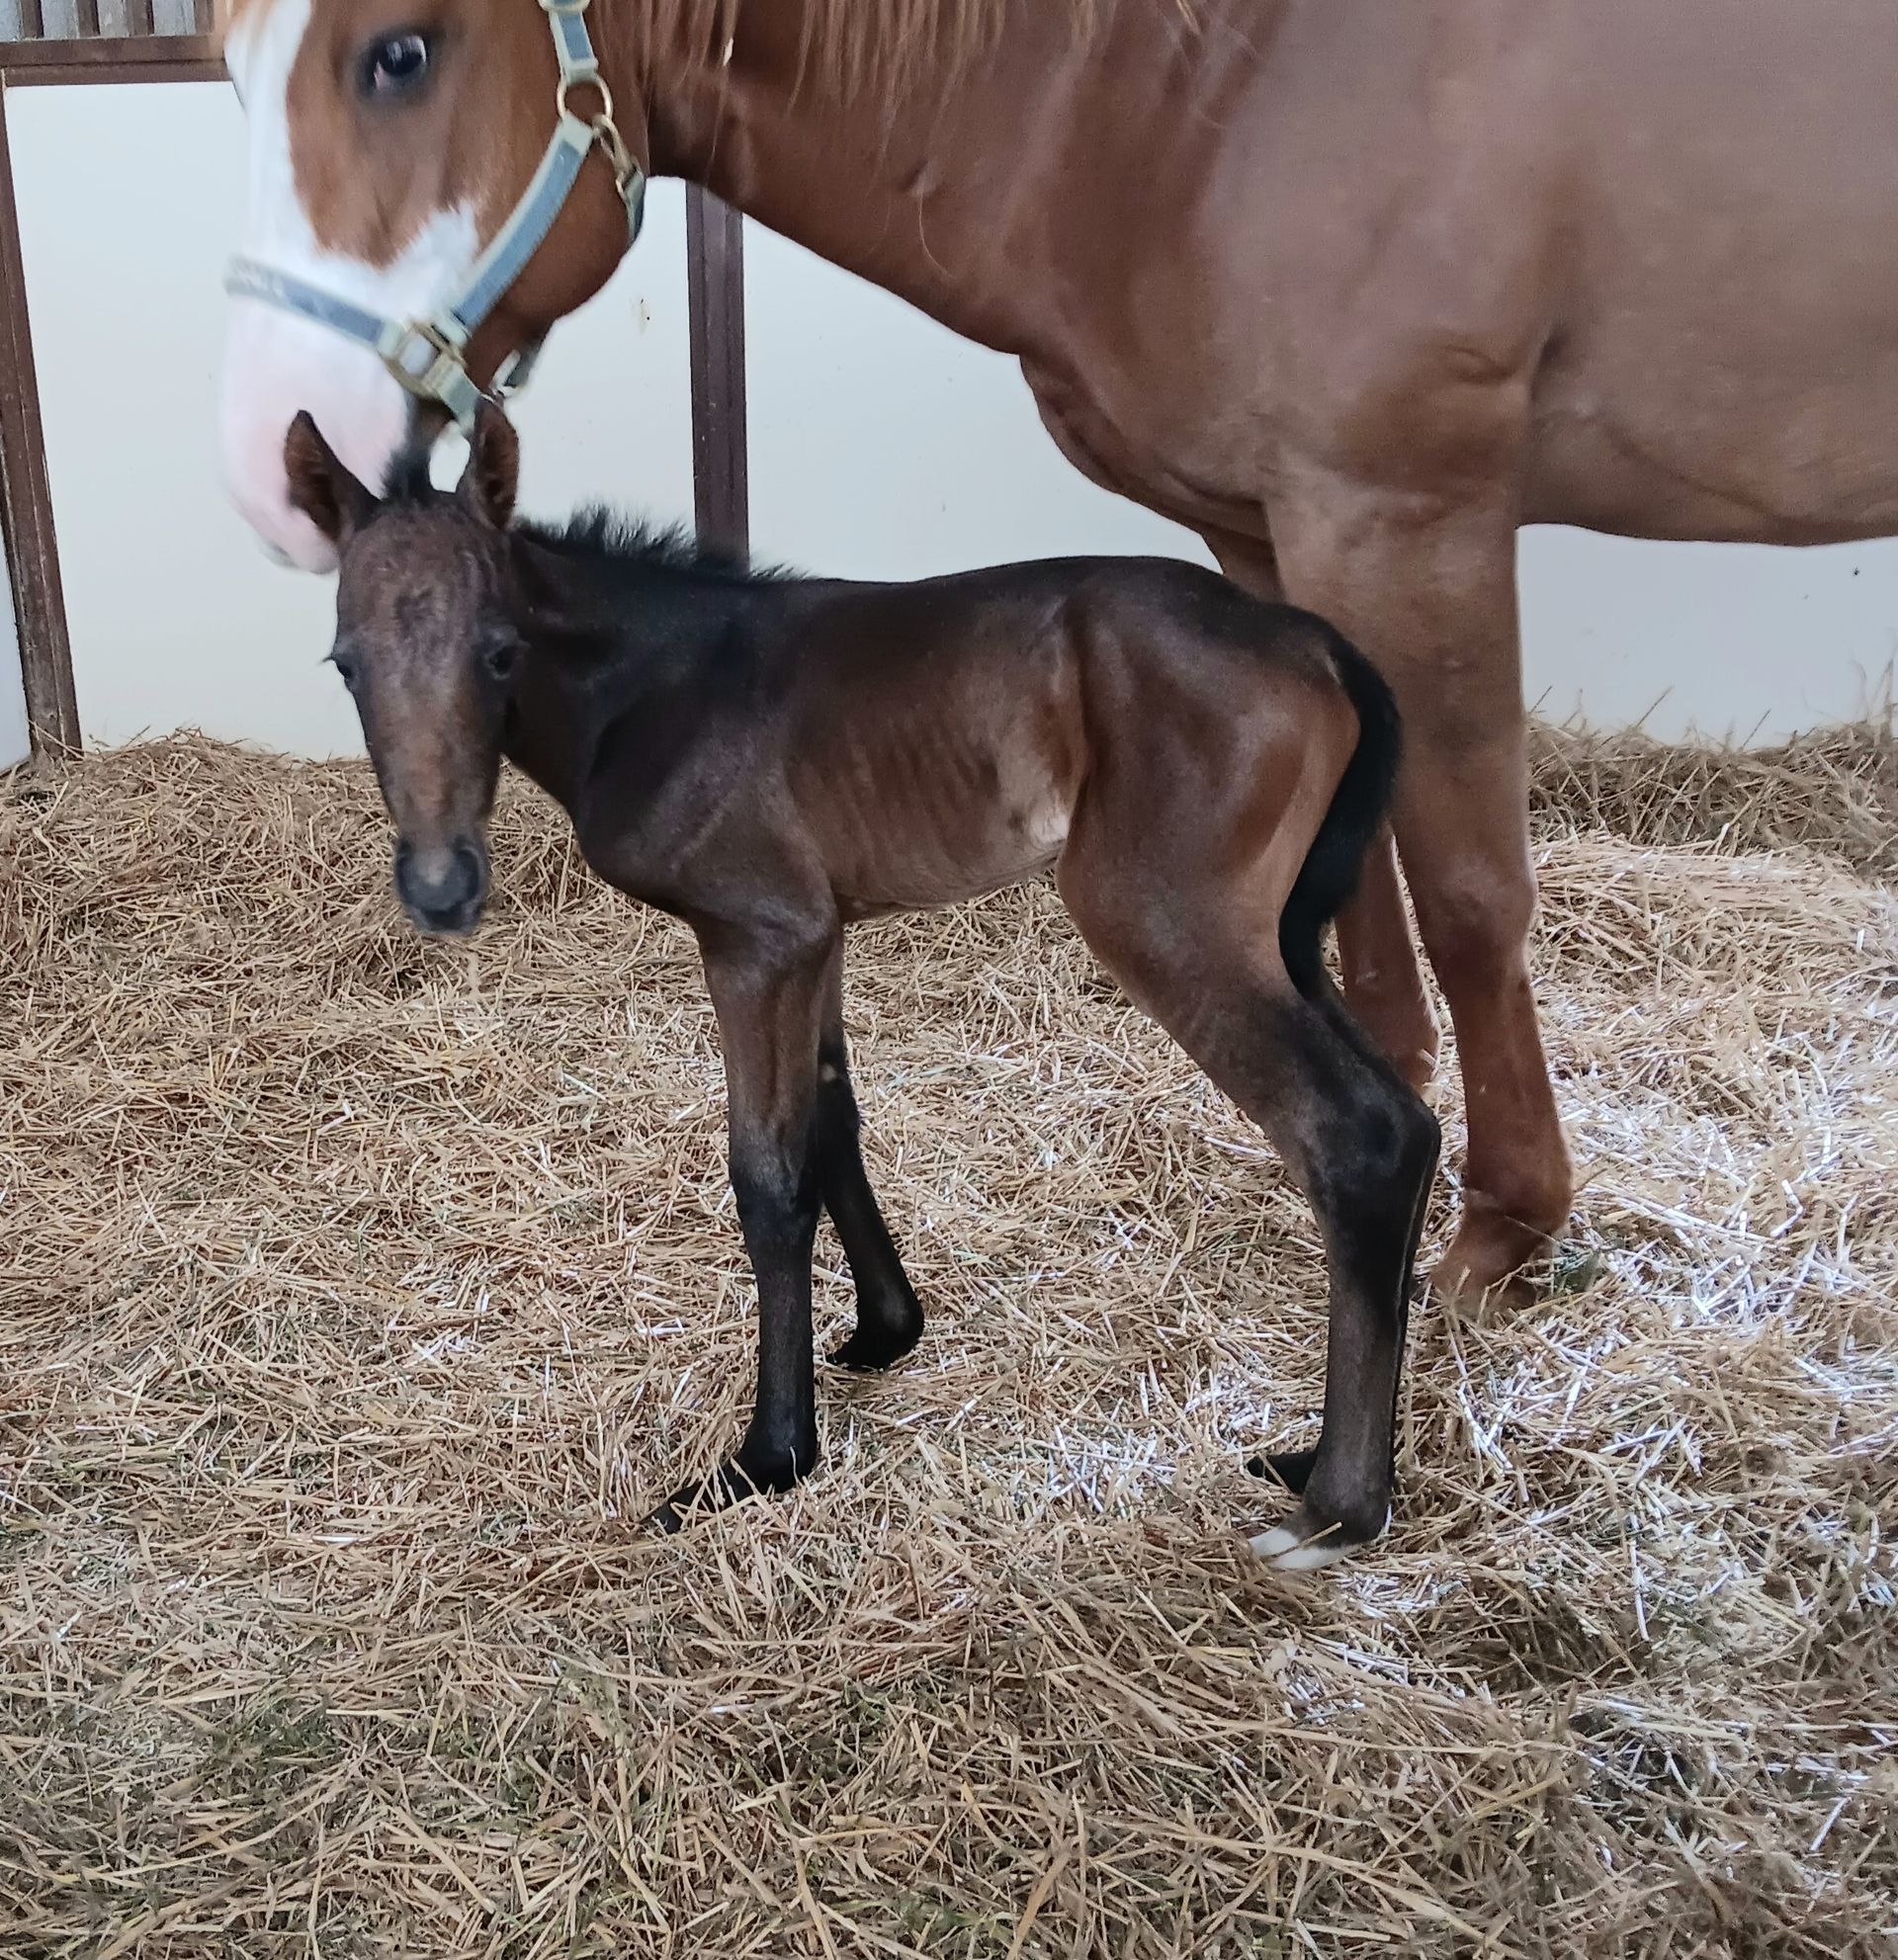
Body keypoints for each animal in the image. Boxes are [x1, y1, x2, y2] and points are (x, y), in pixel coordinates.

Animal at [214, 0, 1898, 1305]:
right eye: (228, 60)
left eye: (400, 52)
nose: (264, 464)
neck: (1206, 100)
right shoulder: (1272, 539)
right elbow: (1359, 892)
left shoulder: (1408, 517)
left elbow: (1476, 892)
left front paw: (1504, 1230)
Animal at [284, 400, 1440, 1566]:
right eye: (344, 663)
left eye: (499, 653)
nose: (440, 887)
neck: (659, 685)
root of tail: (1319, 641)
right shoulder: (820, 934)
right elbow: (833, 1120)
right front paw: (887, 1331)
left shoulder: (757, 939)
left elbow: (768, 1174)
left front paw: (768, 1456)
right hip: (1284, 936)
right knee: (1411, 1121)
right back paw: (1316, 1456)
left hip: (1169, 923)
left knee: (1355, 1135)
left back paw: (1337, 1507)